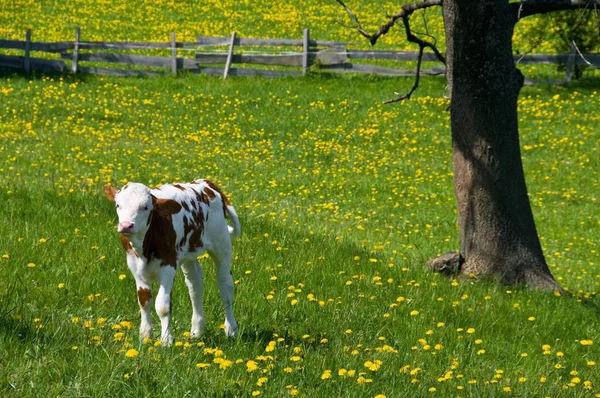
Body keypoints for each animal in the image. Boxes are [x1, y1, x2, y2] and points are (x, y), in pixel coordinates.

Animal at [103, 180, 241, 346]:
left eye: (145, 207)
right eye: (118, 205)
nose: (126, 225)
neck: (144, 248)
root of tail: (207, 184)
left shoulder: (168, 265)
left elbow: (162, 306)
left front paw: (166, 340)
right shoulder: (134, 265)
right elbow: (144, 300)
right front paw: (145, 336)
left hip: (221, 245)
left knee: (225, 286)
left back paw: (231, 330)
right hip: (189, 255)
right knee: (195, 286)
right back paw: (197, 331)